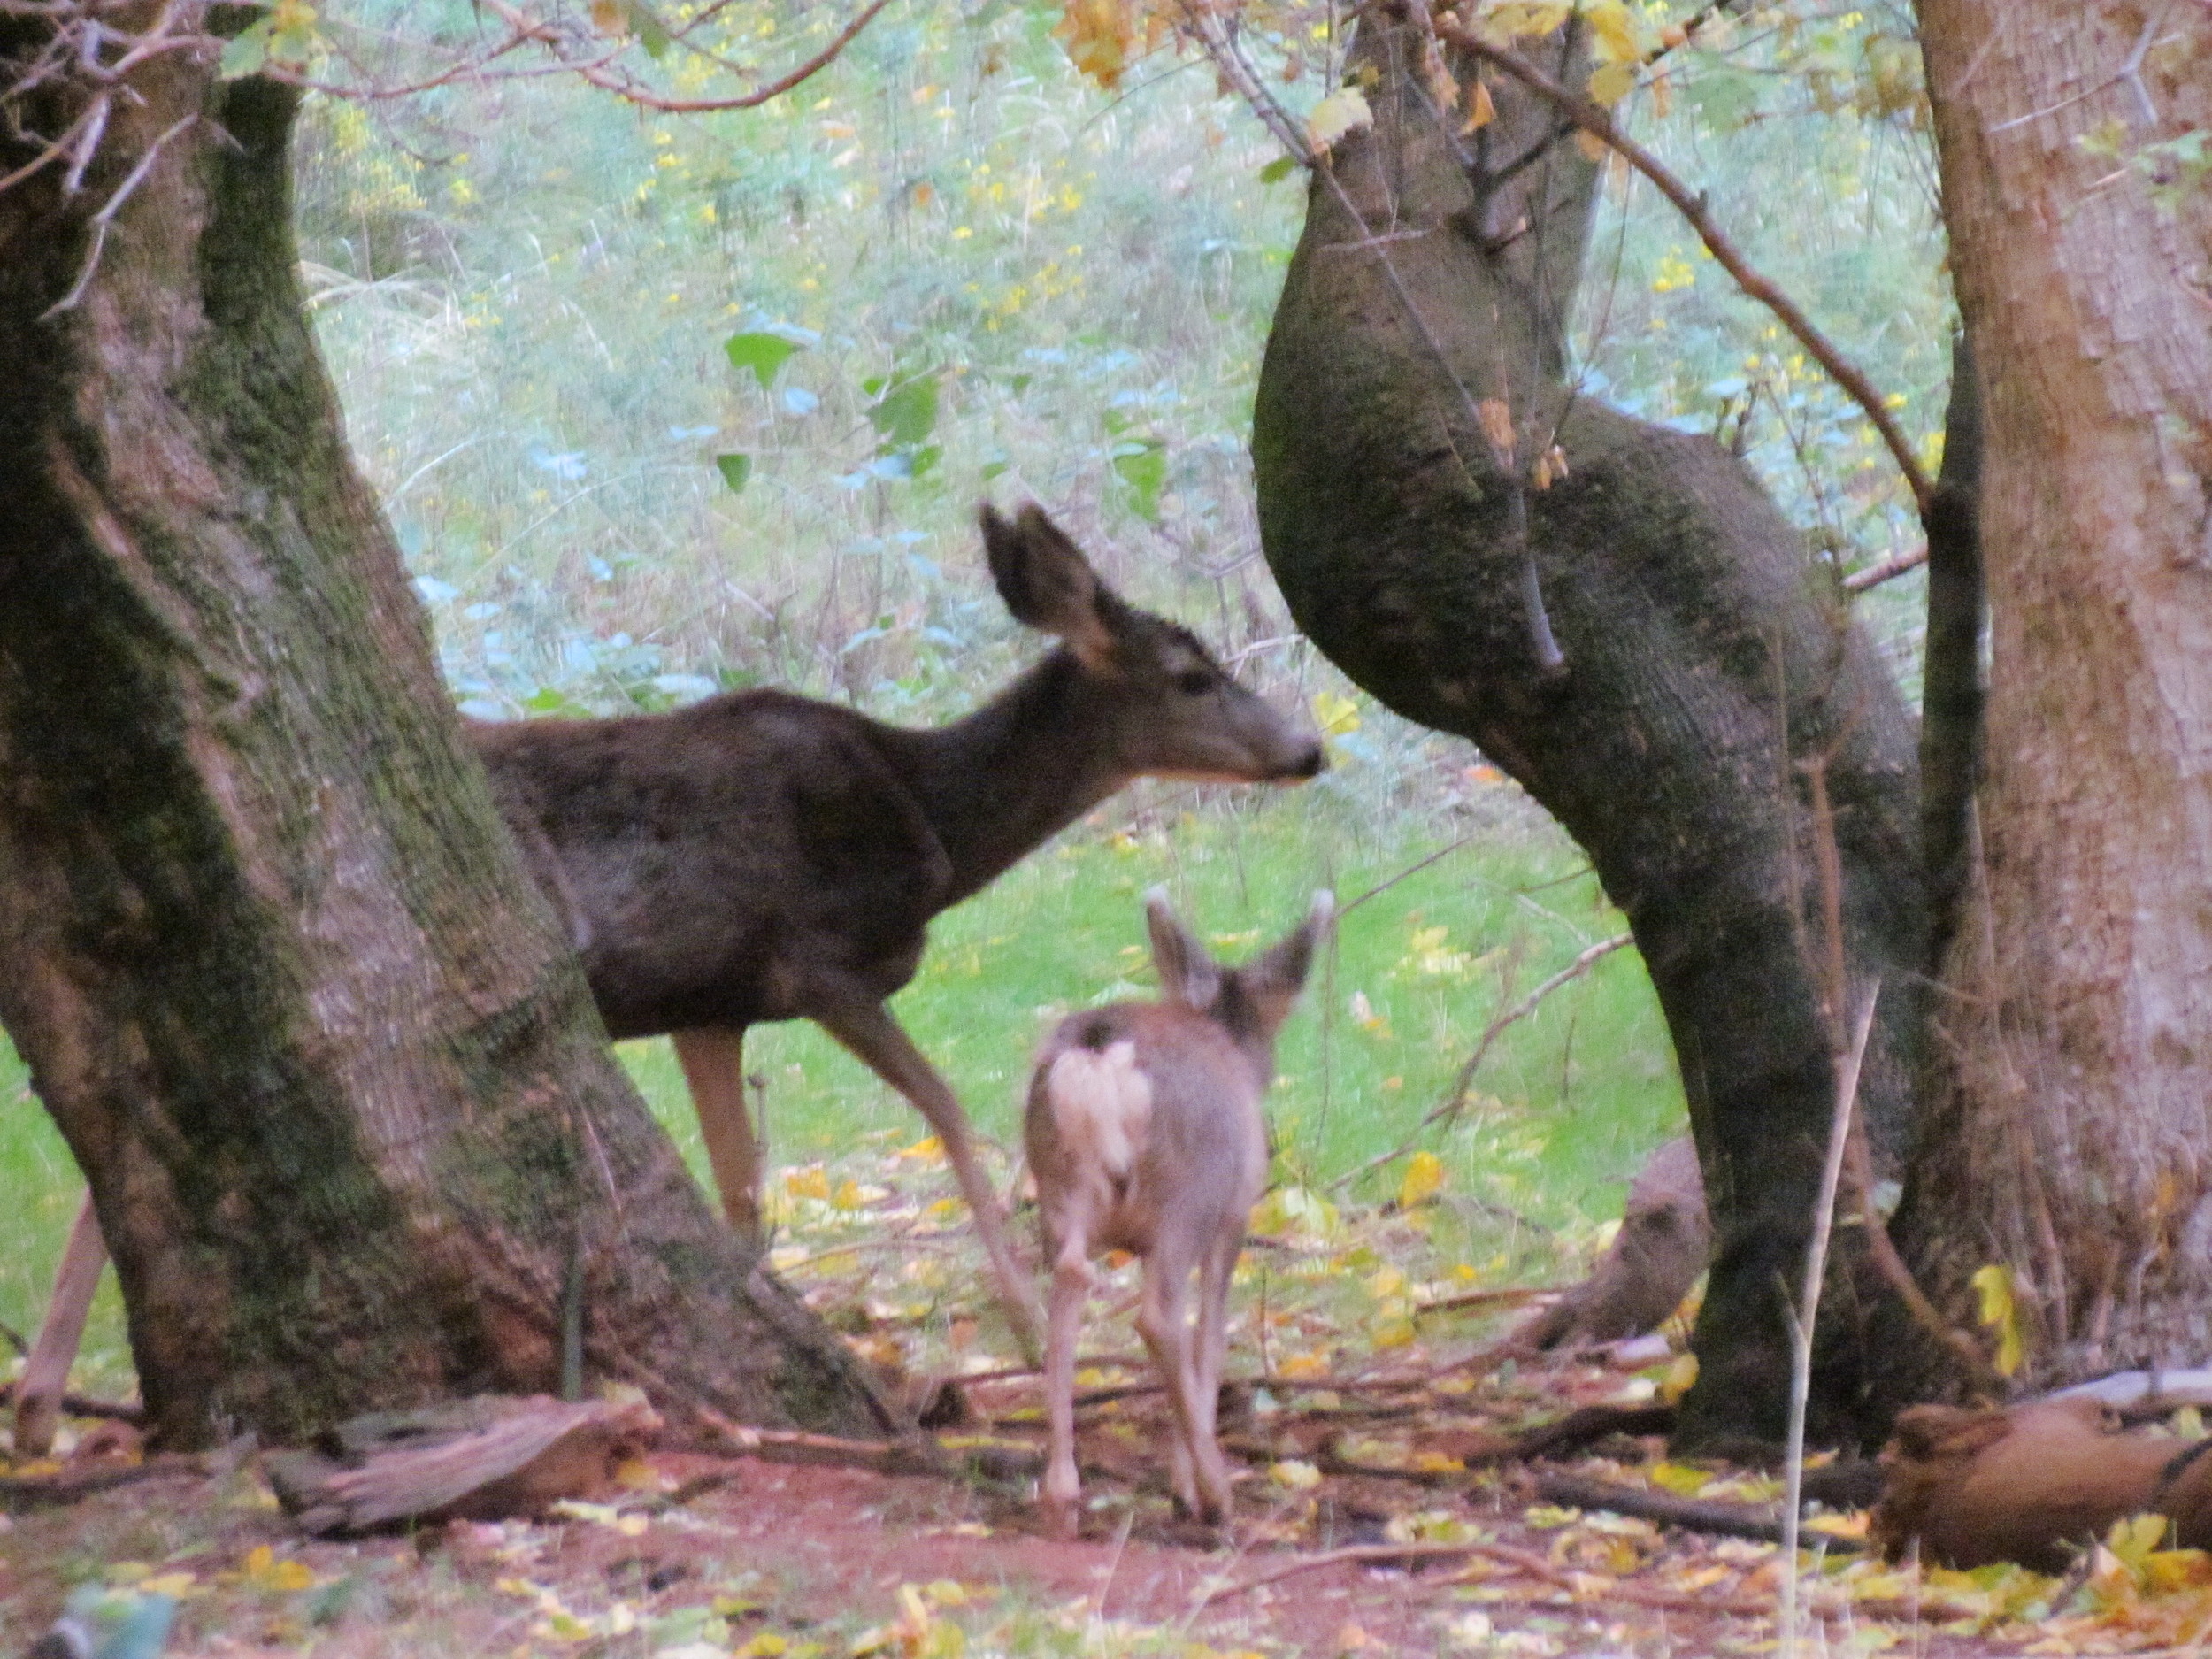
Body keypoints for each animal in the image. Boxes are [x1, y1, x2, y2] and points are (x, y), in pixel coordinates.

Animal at [17, 506, 1318, 1451]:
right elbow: (948, 1108)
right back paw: (44, 1391)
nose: (1309, 748)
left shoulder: (713, 1003)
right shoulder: (818, 958)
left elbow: (746, 1194)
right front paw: (1012, 1304)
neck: (935, 823)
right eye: (1191, 674)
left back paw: (38, 1398)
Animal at [1022, 889, 1327, 1540]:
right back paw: (1215, 1496)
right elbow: (1210, 1338)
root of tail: (1101, 1051)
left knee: (1068, 1280)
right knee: (1160, 1319)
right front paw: (1185, 1484)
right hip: (1189, 1197)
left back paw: (1062, 1495)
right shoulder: (1232, 1219)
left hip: (1058, 1180)